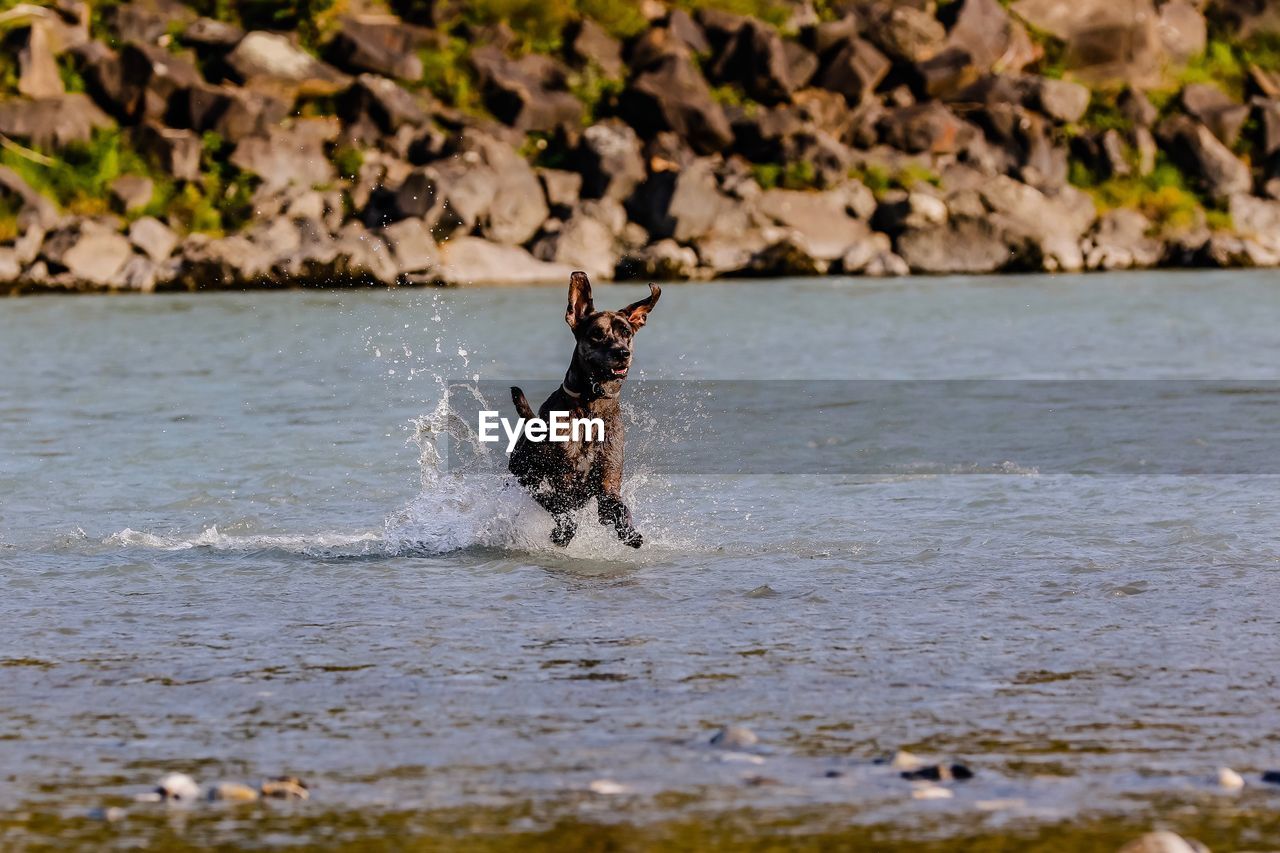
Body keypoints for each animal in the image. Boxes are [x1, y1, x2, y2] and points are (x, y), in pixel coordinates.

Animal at [506, 274, 660, 550]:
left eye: (626, 332)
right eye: (597, 334)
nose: (622, 352)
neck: (591, 406)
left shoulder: (608, 486)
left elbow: (620, 508)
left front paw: (629, 532)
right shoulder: (540, 481)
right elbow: (558, 505)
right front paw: (563, 532)